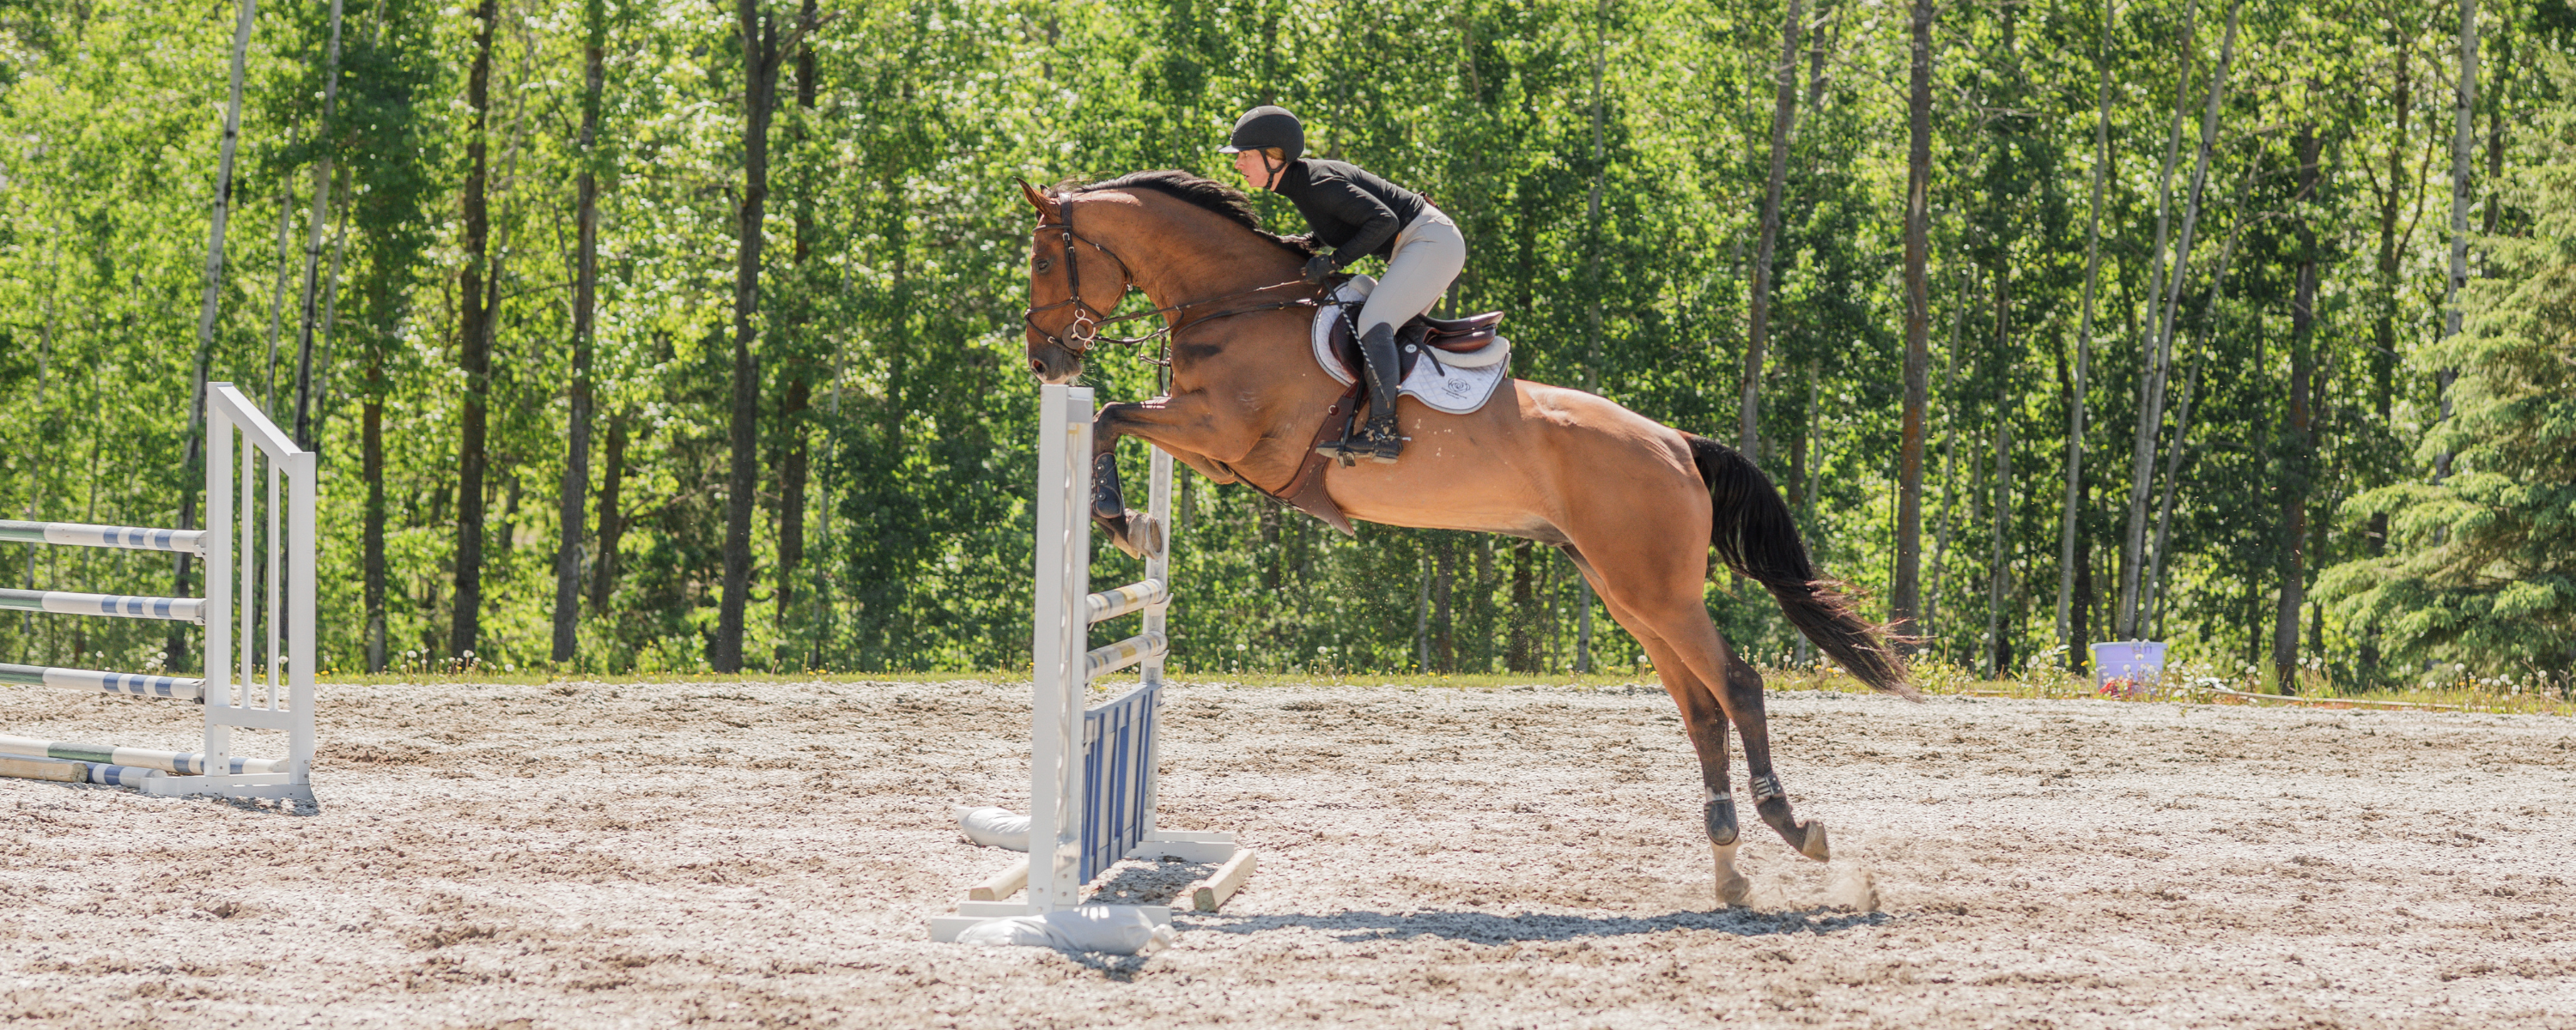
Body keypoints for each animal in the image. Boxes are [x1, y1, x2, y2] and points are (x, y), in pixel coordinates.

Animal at [1015, 170, 1910, 905]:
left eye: (1043, 262)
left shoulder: (1225, 435)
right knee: (1701, 709)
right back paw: (1727, 865)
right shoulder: (1221, 453)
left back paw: (1793, 829)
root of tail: (1676, 443)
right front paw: (1133, 522)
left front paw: (1121, 522)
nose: (1046, 363)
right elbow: (1117, 417)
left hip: (1656, 591)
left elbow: (1111, 414)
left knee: (1739, 685)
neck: (1238, 303)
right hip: (1628, 593)